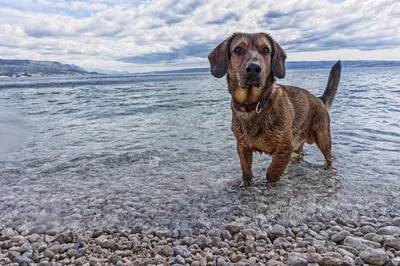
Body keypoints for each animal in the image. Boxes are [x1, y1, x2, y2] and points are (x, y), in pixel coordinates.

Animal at [208, 31, 342, 185]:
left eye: (266, 50)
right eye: (238, 49)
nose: (253, 68)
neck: (254, 104)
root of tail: (319, 99)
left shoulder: (283, 150)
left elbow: (271, 174)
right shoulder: (242, 147)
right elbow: (246, 172)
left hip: (323, 139)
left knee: (329, 157)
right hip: (298, 143)